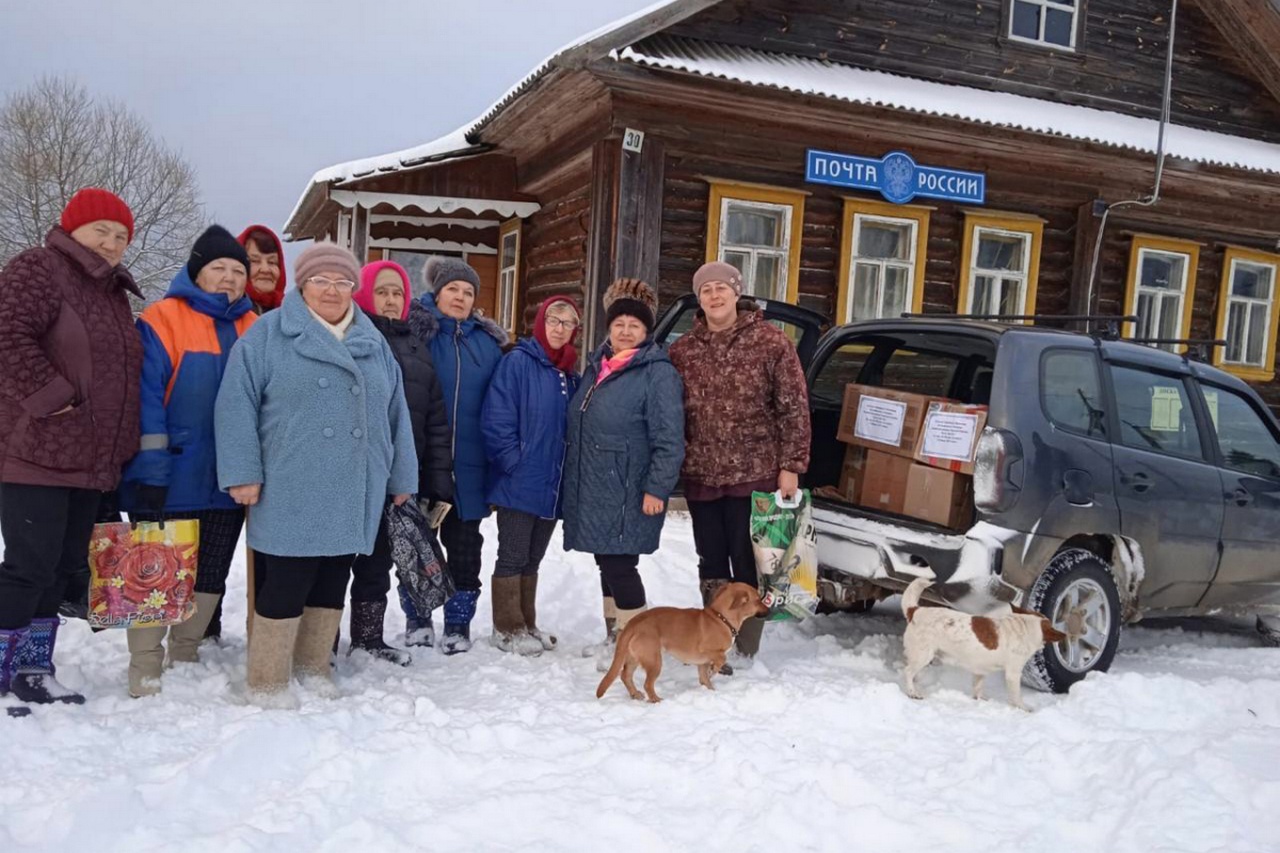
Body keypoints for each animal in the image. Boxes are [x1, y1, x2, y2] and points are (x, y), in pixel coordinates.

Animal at [593, 581, 762, 701]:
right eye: (758, 600)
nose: (767, 610)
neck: (720, 618)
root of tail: (632, 624)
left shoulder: (701, 662)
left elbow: (704, 678)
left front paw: (710, 689)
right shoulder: (707, 651)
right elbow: (721, 658)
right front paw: (714, 670)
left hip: (634, 657)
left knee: (625, 675)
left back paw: (635, 694)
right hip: (654, 660)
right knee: (647, 684)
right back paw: (656, 700)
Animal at [901, 573, 1070, 706]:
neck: (1023, 627)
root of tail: (915, 610)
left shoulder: (980, 670)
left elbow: (977, 688)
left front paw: (980, 700)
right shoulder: (1013, 673)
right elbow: (1016, 698)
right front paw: (1024, 710)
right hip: (923, 655)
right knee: (908, 672)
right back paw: (912, 692)